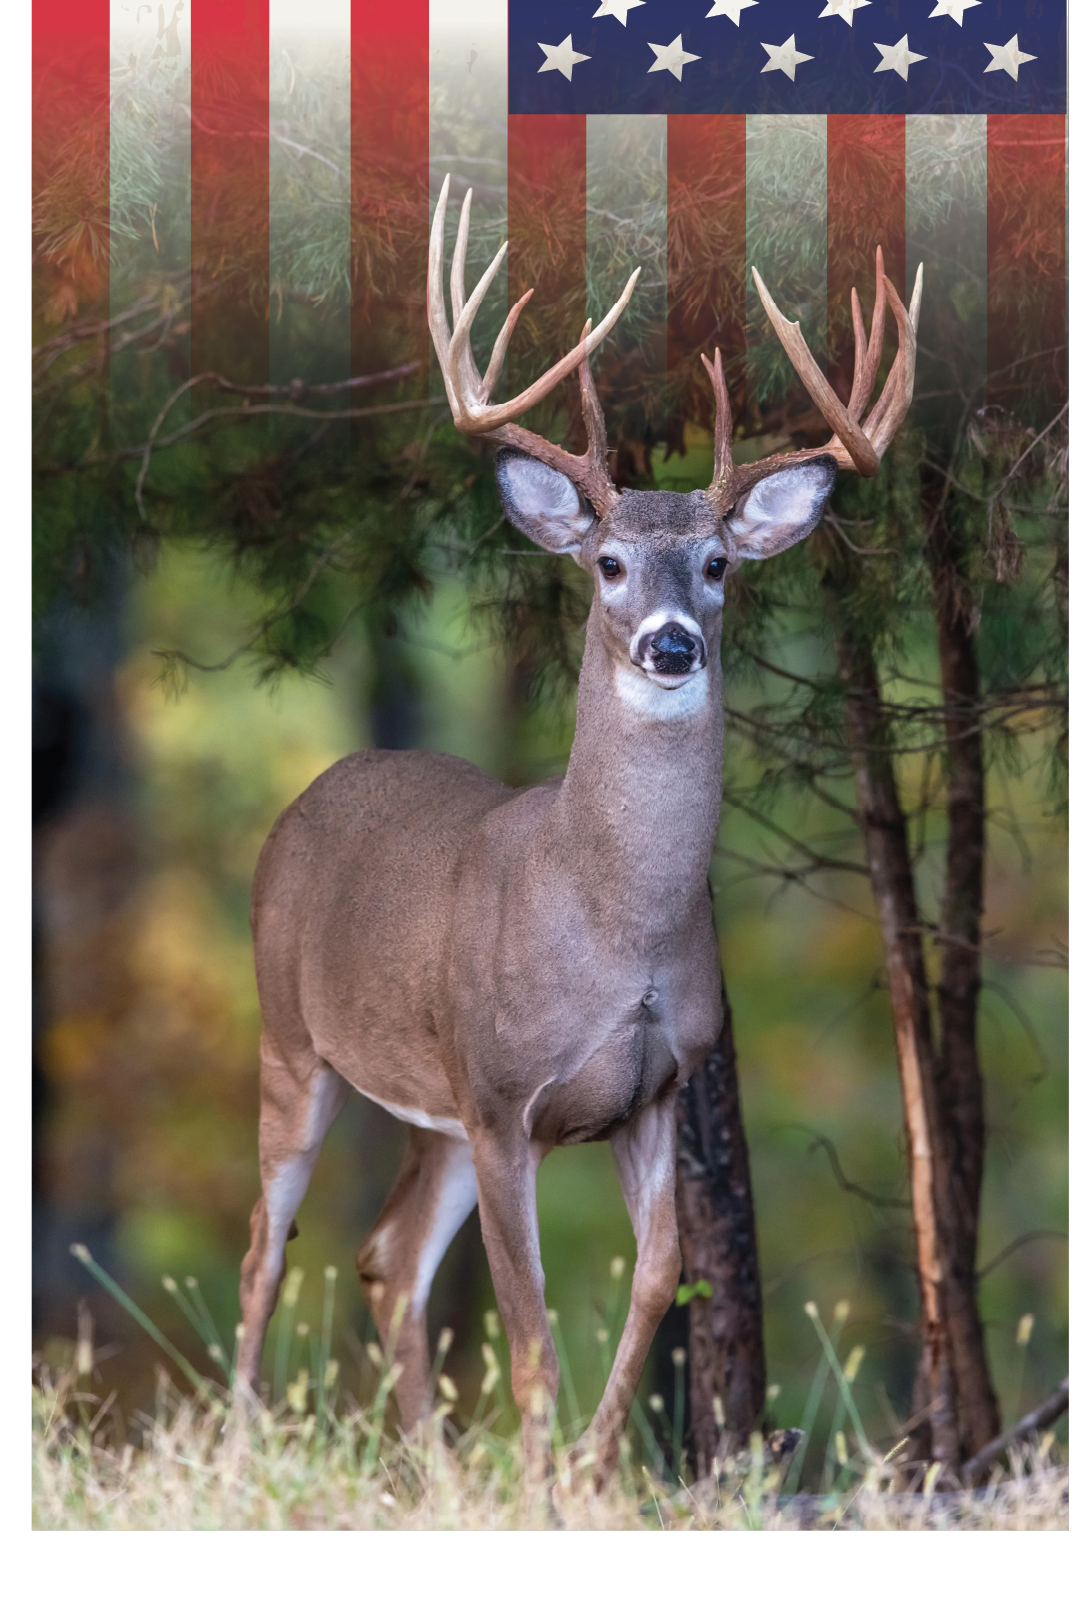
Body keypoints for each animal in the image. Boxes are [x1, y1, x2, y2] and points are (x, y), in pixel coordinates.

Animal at [236, 173, 922, 1487]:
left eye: (716, 563)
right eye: (606, 561)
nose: (670, 641)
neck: (615, 927)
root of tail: (304, 796)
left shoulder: (653, 1087)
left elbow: (659, 1279)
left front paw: (589, 1472)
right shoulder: (507, 1095)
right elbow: (531, 1326)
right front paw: (543, 1483)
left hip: (436, 1100)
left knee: (386, 1256)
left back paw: (434, 1474)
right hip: (298, 1042)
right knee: (266, 1242)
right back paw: (240, 1446)